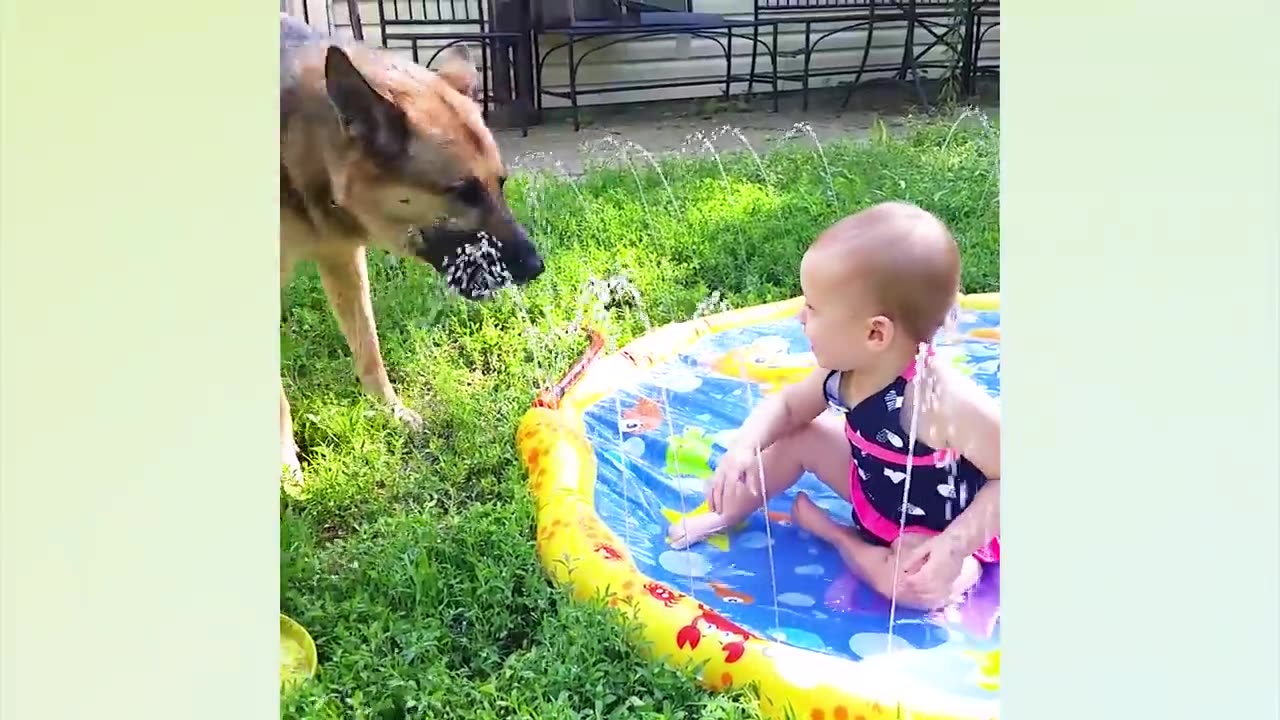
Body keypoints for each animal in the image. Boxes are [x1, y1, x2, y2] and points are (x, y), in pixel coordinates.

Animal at [277, 12, 542, 481]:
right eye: (464, 192)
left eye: (501, 183)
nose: (537, 265)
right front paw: (286, 469)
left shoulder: (342, 258)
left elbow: (369, 349)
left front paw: (392, 413)